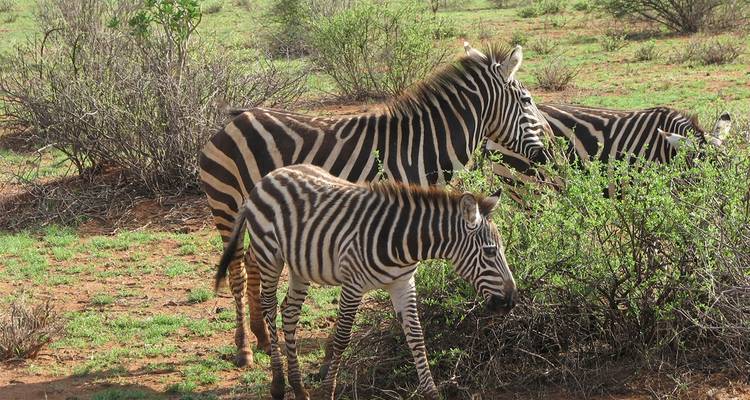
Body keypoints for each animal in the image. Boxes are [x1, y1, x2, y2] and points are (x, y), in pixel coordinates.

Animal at [199, 42, 551, 365]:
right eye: (528, 101)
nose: (547, 155)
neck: (419, 147)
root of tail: (236, 119)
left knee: (253, 262)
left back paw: (261, 335)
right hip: (226, 203)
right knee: (237, 270)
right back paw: (244, 348)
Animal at [214, 164, 516, 400]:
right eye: (491, 252)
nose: (512, 301)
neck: (403, 241)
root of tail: (268, 177)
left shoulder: (403, 283)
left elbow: (417, 338)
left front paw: (431, 392)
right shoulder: (353, 285)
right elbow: (341, 340)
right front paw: (327, 391)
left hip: (300, 264)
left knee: (289, 311)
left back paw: (298, 388)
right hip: (269, 255)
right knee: (269, 306)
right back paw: (278, 384)